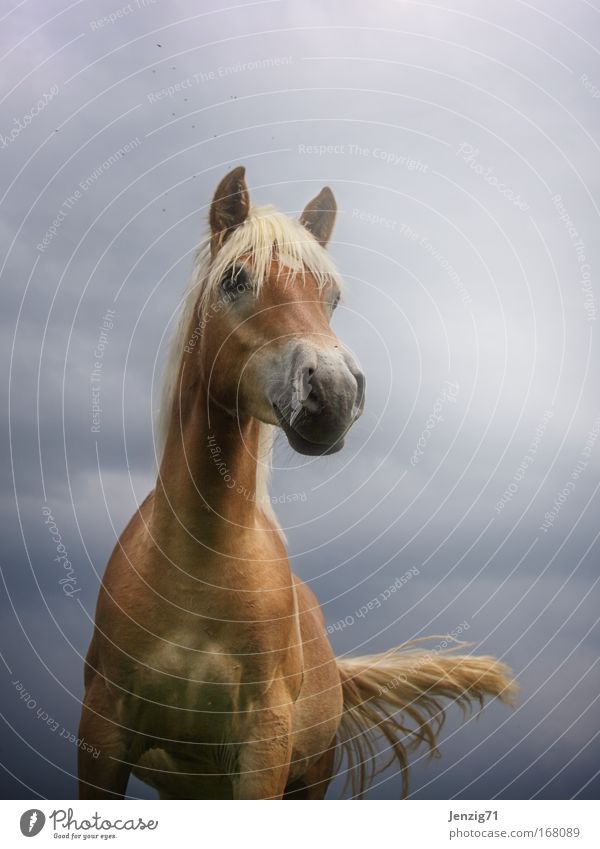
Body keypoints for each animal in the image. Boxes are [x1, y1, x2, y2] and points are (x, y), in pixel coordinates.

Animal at [78, 169, 516, 800]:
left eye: (330, 297)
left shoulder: (263, 749)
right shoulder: (102, 740)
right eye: (235, 279)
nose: (333, 393)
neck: (194, 572)